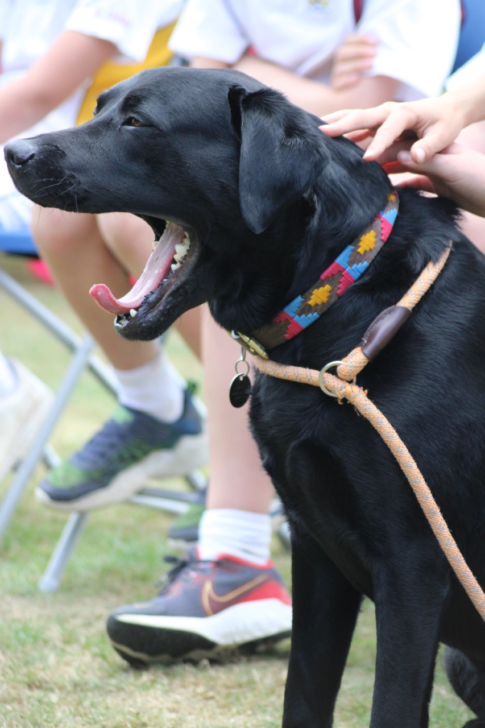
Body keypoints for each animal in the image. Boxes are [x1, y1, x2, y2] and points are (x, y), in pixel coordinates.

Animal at [5, 65, 484, 724]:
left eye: (137, 122)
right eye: (99, 107)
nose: (13, 151)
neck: (342, 306)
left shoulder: (412, 568)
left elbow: (388, 704)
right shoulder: (317, 556)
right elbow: (303, 694)